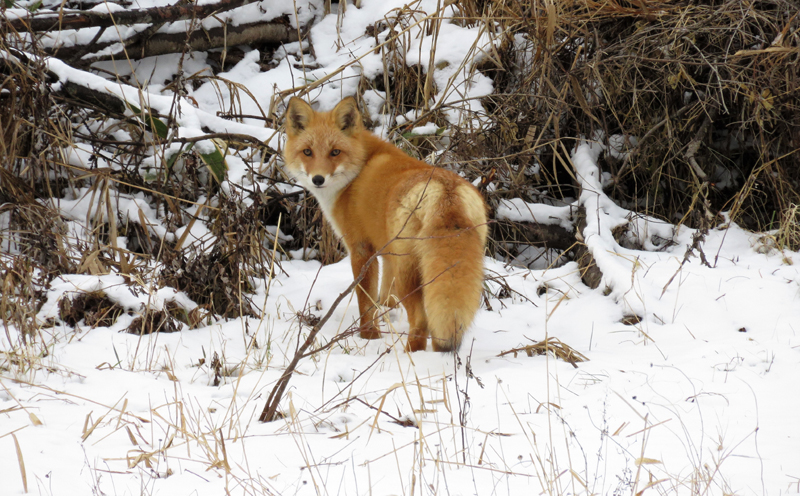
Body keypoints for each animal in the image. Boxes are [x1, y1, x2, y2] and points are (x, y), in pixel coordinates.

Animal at [288, 97, 488, 352]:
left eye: (335, 152)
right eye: (307, 152)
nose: (318, 179)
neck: (359, 169)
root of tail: (444, 191)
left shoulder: (361, 249)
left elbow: (366, 301)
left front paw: (369, 335)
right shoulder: (386, 254)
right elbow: (385, 300)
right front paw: (384, 319)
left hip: (408, 273)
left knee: (421, 321)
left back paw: (412, 353)